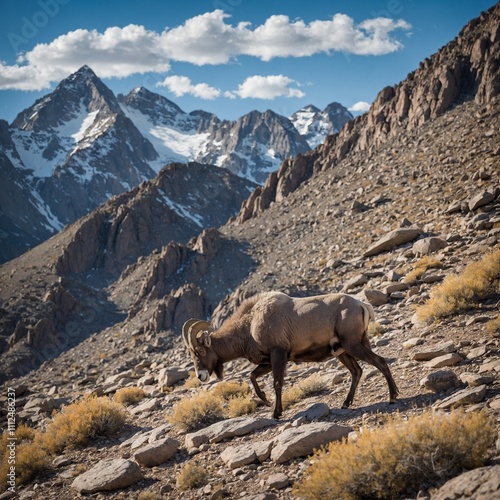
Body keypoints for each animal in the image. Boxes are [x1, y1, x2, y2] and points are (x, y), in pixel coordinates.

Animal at [184, 292, 398, 420]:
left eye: (200, 351)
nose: (201, 376)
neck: (250, 323)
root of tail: (362, 305)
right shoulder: (269, 361)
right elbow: (252, 376)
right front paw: (266, 401)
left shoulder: (278, 354)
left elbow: (277, 383)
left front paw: (275, 413)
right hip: (344, 351)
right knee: (357, 371)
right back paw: (346, 403)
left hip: (352, 345)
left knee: (379, 362)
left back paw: (393, 397)